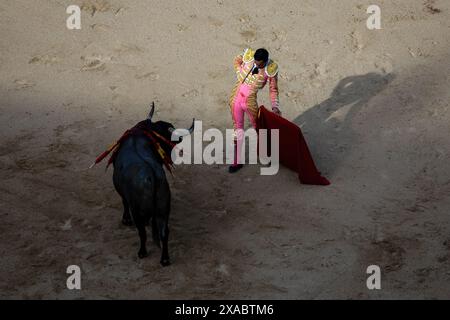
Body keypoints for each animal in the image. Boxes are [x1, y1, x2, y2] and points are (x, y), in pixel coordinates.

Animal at [111, 104, 192, 266]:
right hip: (164, 207)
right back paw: (165, 259)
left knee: (142, 231)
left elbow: (124, 201)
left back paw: (142, 252)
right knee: (164, 232)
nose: (172, 156)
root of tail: (153, 177)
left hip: (138, 210)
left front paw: (125, 220)